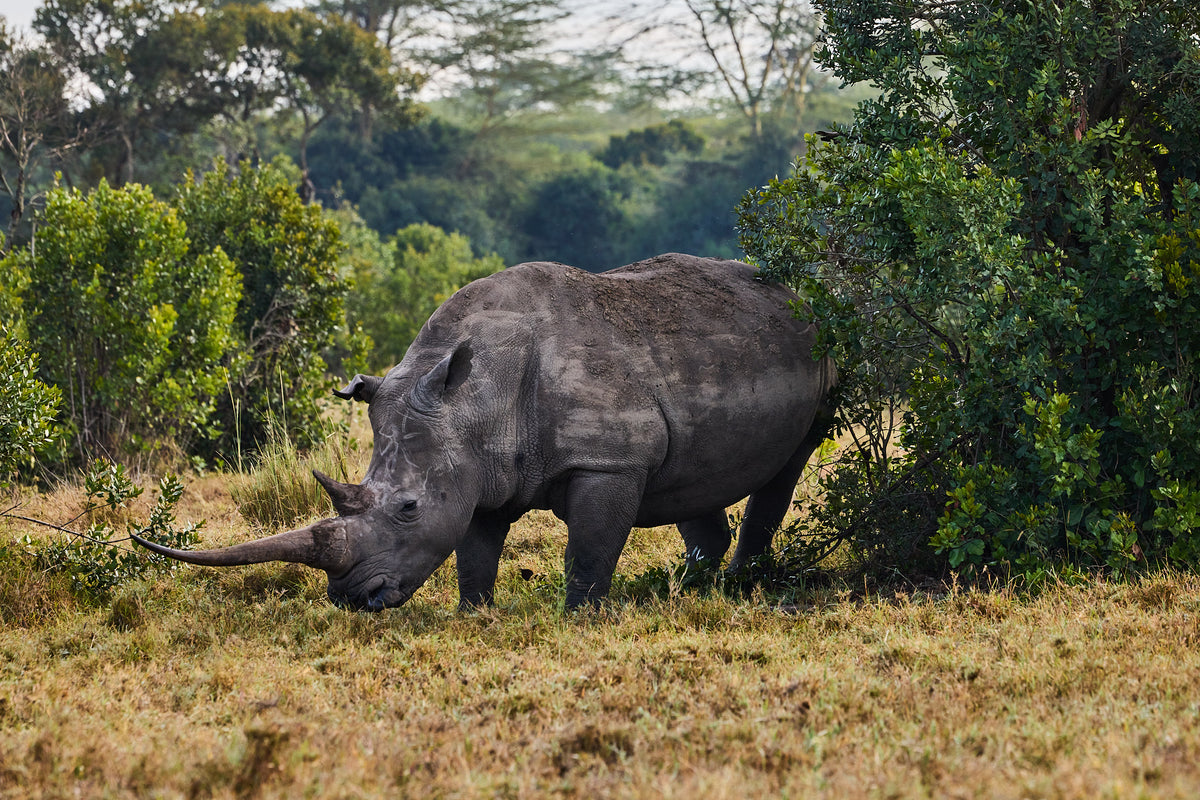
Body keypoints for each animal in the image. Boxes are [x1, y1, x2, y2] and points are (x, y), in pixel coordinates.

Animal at [135, 253, 836, 610]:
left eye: (408, 508)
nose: (352, 598)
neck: (474, 400)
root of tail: (791, 289)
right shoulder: (479, 465)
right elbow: (474, 548)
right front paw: (474, 612)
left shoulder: (606, 461)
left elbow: (588, 549)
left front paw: (581, 616)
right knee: (691, 478)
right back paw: (693, 590)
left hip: (822, 346)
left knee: (789, 462)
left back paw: (739, 586)